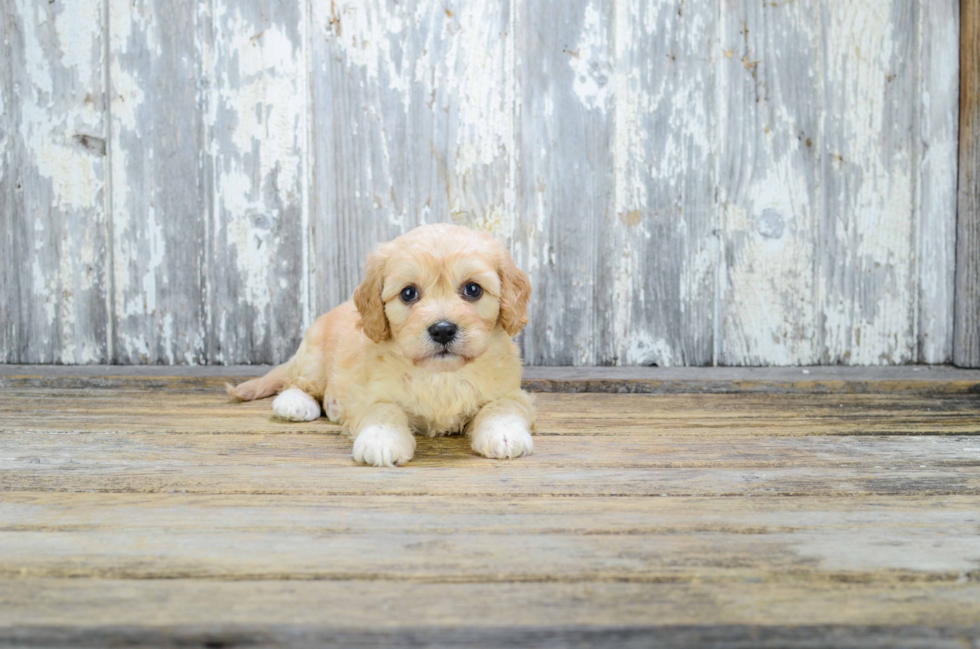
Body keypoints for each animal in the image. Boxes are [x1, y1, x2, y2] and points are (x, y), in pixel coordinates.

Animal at [226, 223, 536, 466]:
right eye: (408, 293)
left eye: (473, 289)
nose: (443, 330)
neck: (440, 375)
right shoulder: (367, 393)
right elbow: (384, 409)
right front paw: (381, 439)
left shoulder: (510, 389)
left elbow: (501, 406)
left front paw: (504, 434)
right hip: (312, 357)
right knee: (296, 382)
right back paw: (294, 403)